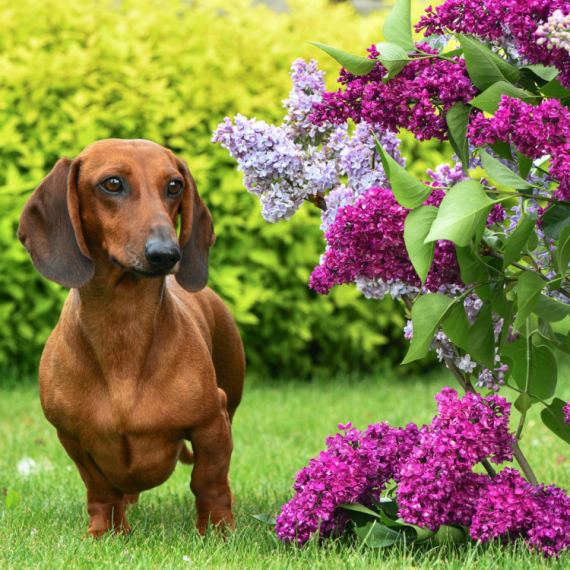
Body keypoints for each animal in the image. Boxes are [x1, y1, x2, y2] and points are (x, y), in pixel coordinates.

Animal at [17, 139, 244, 536]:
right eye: (112, 184)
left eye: (174, 186)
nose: (167, 254)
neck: (123, 326)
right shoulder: (71, 438)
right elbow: (99, 487)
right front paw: (105, 532)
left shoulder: (212, 423)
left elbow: (208, 481)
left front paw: (218, 531)